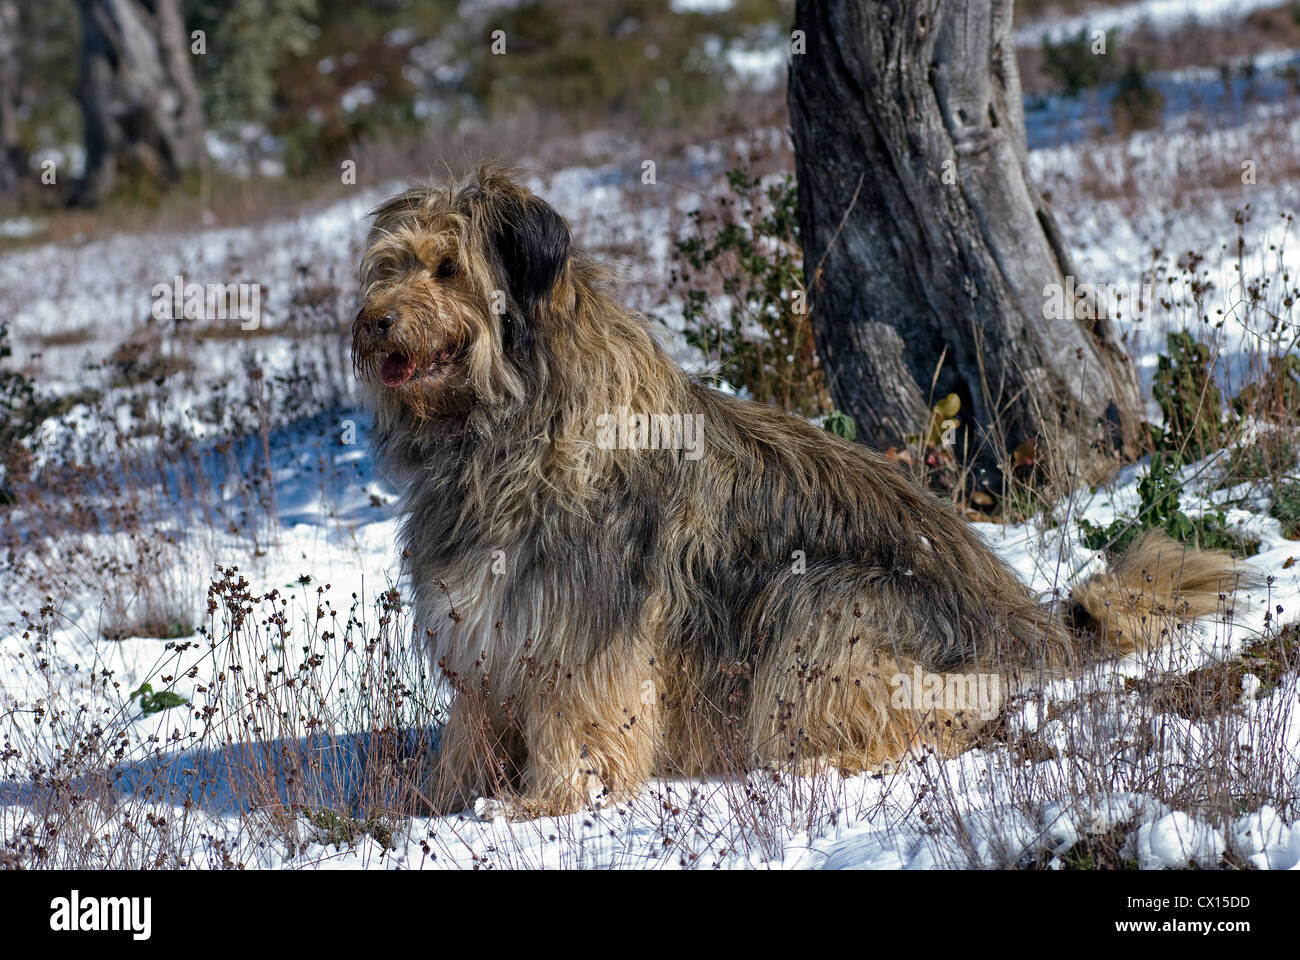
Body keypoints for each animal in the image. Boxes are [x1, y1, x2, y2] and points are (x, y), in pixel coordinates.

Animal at [351, 164, 1242, 816]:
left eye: (448, 269)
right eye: (388, 268)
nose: (374, 322)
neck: (504, 431)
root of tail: (1032, 632)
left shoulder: (585, 626)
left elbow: (579, 720)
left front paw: (545, 803)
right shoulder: (486, 632)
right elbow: (472, 725)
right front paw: (433, 803)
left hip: (827, 599)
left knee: (916, 721)